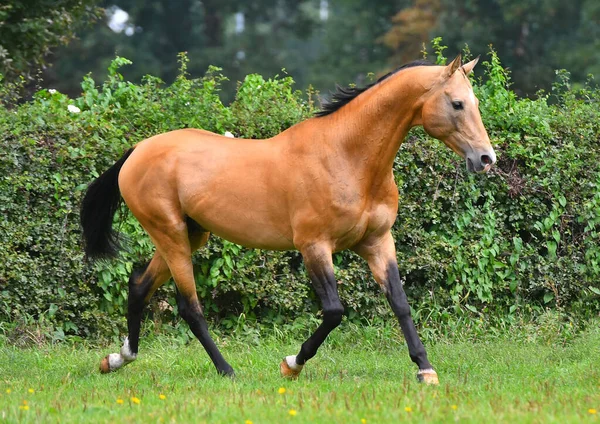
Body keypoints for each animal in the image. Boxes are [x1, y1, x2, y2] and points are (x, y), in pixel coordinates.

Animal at [81, 53, 496, 384]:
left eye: (475, 102)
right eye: (457, 103)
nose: (486, 159)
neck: (347, 157)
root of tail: (137, 151)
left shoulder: (377, 242)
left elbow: (400, 302)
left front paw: (425, 370)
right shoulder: (314, 246)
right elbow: (334, 312)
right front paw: (291, 365)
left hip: (189, 235)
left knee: (139, 286)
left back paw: (117, 359)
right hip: (170, 234)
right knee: (189, 307)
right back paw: (227, 371)